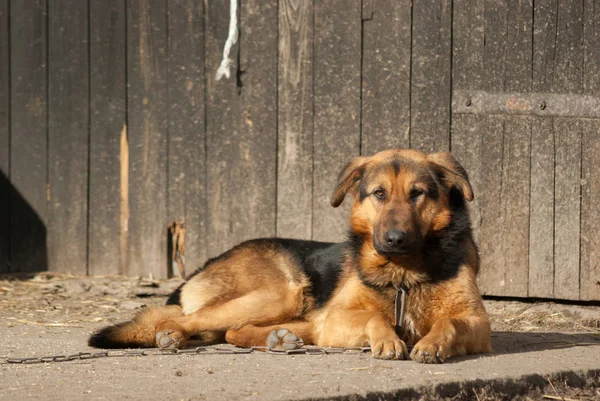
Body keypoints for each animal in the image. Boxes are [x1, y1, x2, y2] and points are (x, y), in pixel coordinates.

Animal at [89, 148, 492, 360]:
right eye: (379, 194)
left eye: (417, 194)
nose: (394, 239)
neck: (403, 273)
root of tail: (201, 269)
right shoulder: (338, 318)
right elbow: (374, 317)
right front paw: (388, 338)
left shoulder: (477, 322)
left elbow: (449, 323)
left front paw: (432, 342)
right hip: (282, 294)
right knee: (193, 321)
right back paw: (170, 336)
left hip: (297, 311)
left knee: (233, 331)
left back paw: (276, 340)